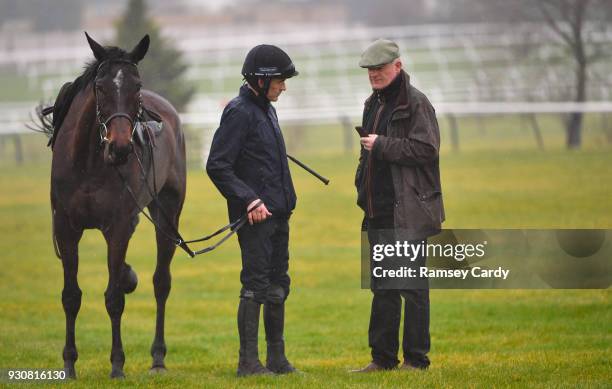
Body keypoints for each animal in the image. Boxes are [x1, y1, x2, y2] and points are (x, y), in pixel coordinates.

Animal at [44, 31, 186, 378]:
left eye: (136, 85)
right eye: (100, 87)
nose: (120, 147)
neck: (89, 164)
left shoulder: (118, 226)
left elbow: (114, 299)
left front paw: (117, 364)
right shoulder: (65, 227)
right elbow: (71, 296)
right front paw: (69, 364)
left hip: (167, 211)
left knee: (161, 282)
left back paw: (158, 358)